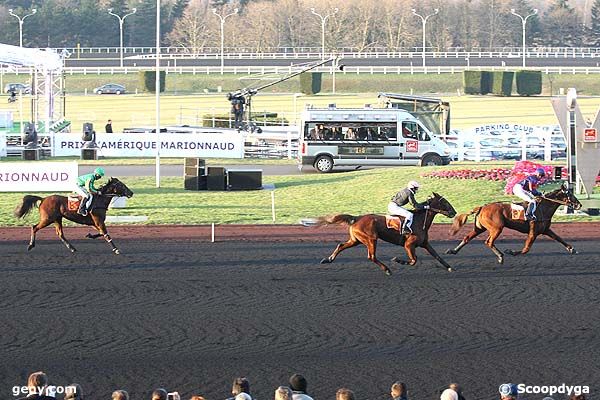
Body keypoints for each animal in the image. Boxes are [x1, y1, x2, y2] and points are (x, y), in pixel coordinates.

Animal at [316, 193, 458, 276]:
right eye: (445, 202)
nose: (454, 212)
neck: (419, 220)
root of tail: (356, 218)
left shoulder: (425, 243)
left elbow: (437, 256)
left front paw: (450, 267)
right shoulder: (409, 245)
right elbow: (414, 260)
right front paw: (397, 260)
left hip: (356, 240)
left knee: (341, 245)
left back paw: (328, 259)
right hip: (371, 239)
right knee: (371, 256)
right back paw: (387, 269)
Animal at [446, 183, 580, 264]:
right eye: (570, 194)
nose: (579, 205)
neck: (543, 207)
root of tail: (482, 207)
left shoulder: (545, 229)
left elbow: (559, 238)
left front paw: (572, 249)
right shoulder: (533, 232)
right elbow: (526, 249)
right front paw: (511, 252)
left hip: (480, 228)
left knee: (467, 237)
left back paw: (453, 251)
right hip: (497, 228)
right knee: (488, 242)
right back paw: (500, 256)